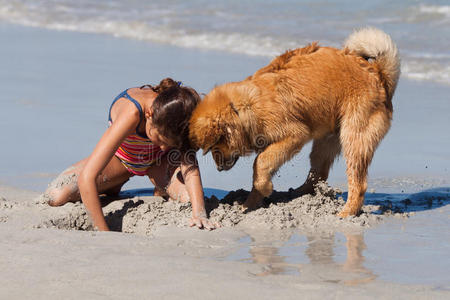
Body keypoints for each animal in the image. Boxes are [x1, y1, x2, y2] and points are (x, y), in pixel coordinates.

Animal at [190, 27, 400, 217]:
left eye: (214, 147)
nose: (218, 169)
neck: (242, 108)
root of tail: (378, 74)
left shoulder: (294, 135)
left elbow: (261, 162)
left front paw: (260, 193)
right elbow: (261, 171)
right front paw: (249, 204)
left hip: (354, 137)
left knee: (358, 182)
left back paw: (347, 212)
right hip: (326, 140)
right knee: (318, 174)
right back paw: (298, 194)